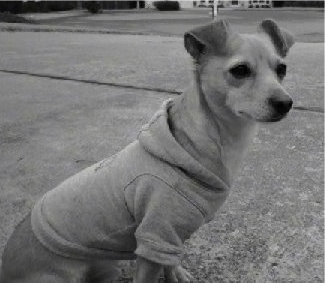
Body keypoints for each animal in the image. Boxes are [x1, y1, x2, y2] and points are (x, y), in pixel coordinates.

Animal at [0, 18, 294, 282]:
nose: (286, 103)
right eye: (240, 70)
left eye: (282, 69)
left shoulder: (169, 239)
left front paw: (175, 273)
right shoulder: (156, 236)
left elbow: (171, 261)